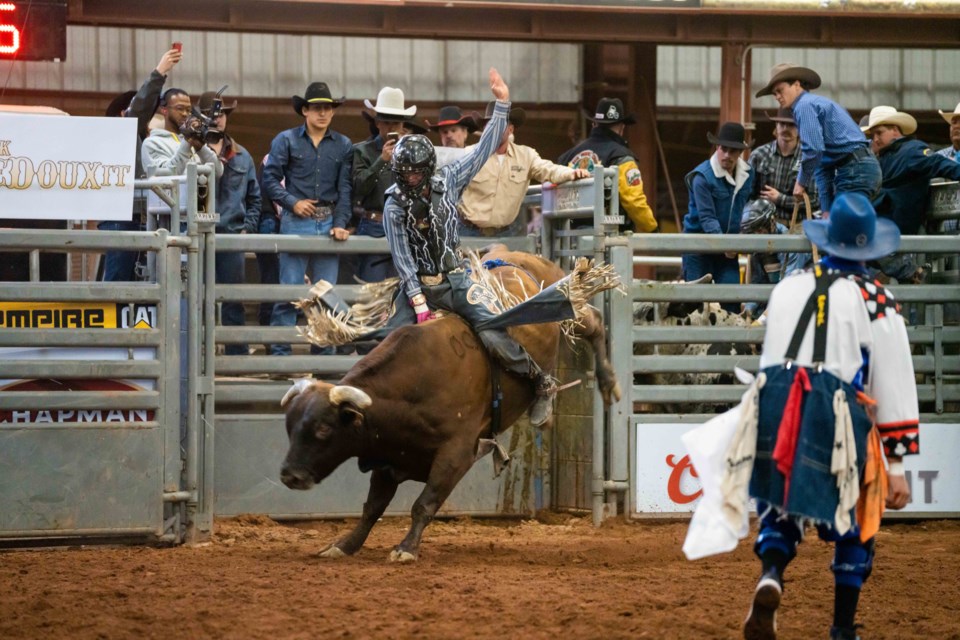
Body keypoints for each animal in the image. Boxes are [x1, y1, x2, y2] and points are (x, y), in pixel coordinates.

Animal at [278, 248, 624, 564]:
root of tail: (515, 254)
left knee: (594, 321)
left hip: (566, 309)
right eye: (289, 428)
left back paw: (605, 382)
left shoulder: (456, 454)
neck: (413, 388)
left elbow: (424, 503)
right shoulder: (388, 455)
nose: (289, 476)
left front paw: (406, 549)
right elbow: (372, 508)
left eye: (324, 429)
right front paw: (344, 545)